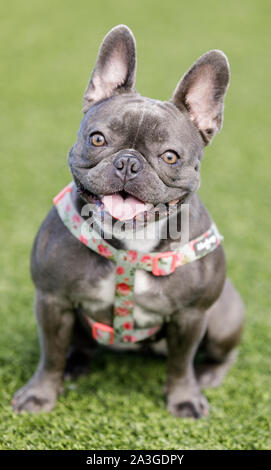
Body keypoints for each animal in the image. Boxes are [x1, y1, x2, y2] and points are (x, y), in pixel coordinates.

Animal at [12, 24, 244, 418]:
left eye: (170, 157)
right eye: (97, 139)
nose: (128, 162)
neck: (130, 245)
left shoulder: (191, 316)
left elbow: (180, 364)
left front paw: (185, 398)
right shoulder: (53, 301)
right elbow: (50, 355)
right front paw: (40, 395)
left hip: (224, 319)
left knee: (219, 354)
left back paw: (209, 375)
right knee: (79, 346)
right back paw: (76, 365)